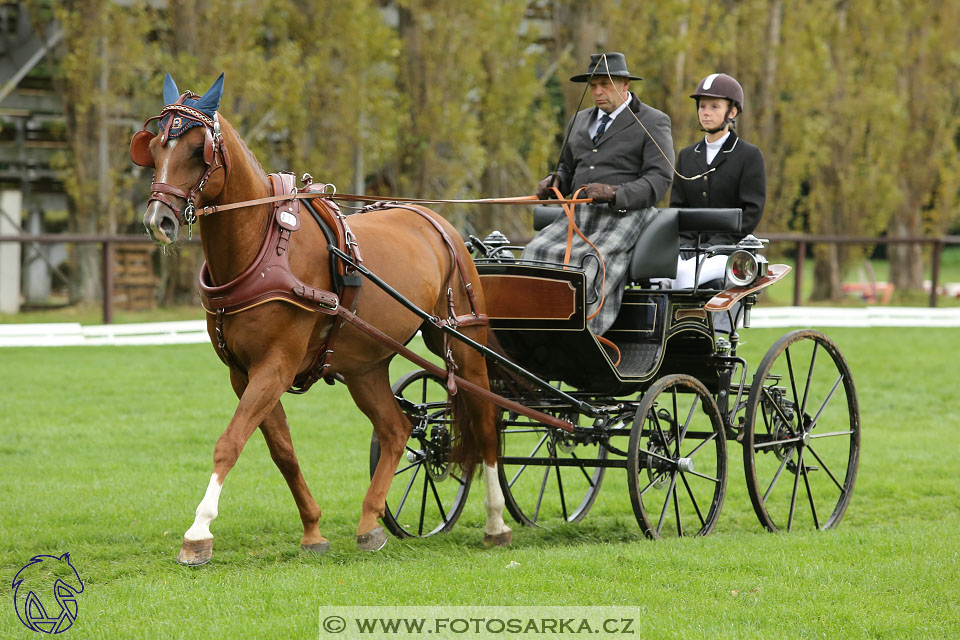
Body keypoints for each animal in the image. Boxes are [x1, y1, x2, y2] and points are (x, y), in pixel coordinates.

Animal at [134, 72, 512, 564]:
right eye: (154, 147)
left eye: (199, 151)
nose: (157, 221)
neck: (262, 248)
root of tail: (435, 221)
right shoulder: (244, 372)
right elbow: (282, 451)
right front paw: (313, 531)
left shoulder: (276, 365)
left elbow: (230, 442)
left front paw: (198, 533)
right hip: (365, 364)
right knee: (396, 429)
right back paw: (370, 523)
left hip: (464, 341)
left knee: (485, 424)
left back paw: (496, 522)